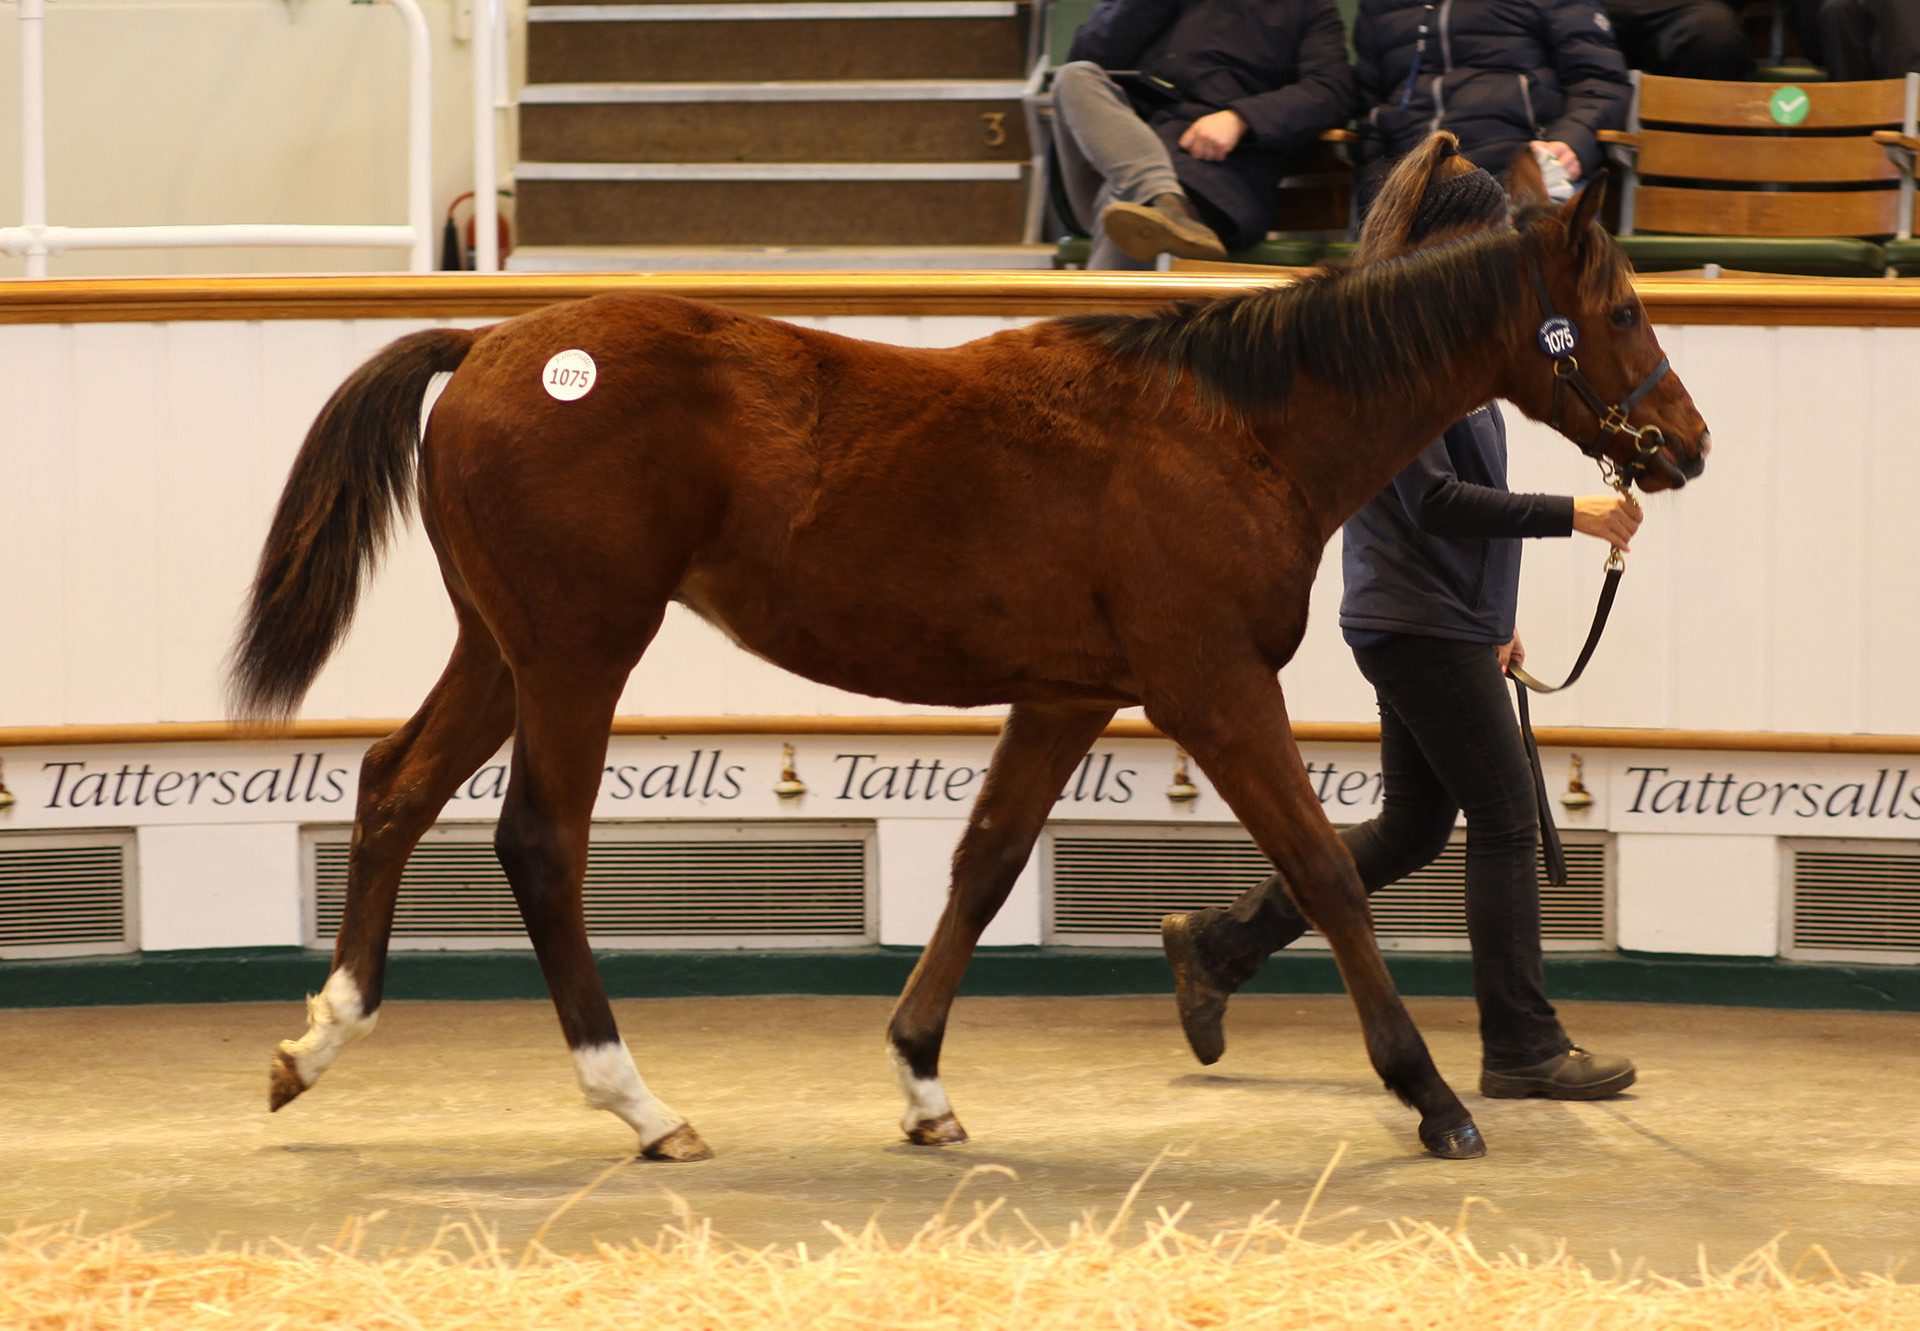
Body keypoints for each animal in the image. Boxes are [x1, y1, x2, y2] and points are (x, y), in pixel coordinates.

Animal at [236, 143, 1712, 1160]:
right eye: (1623, 310)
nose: (1685, 446)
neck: (1232, 430)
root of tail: (489, 340)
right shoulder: (1213, 686)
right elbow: (1325, 871)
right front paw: (1435, 1094)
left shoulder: (1066, 696)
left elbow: (985, 863)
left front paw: (923, 1078)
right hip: (578, 650)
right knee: (538, 841)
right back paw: (640, 1102)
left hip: (505, 646)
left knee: (393, 783)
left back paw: (317, 1040)